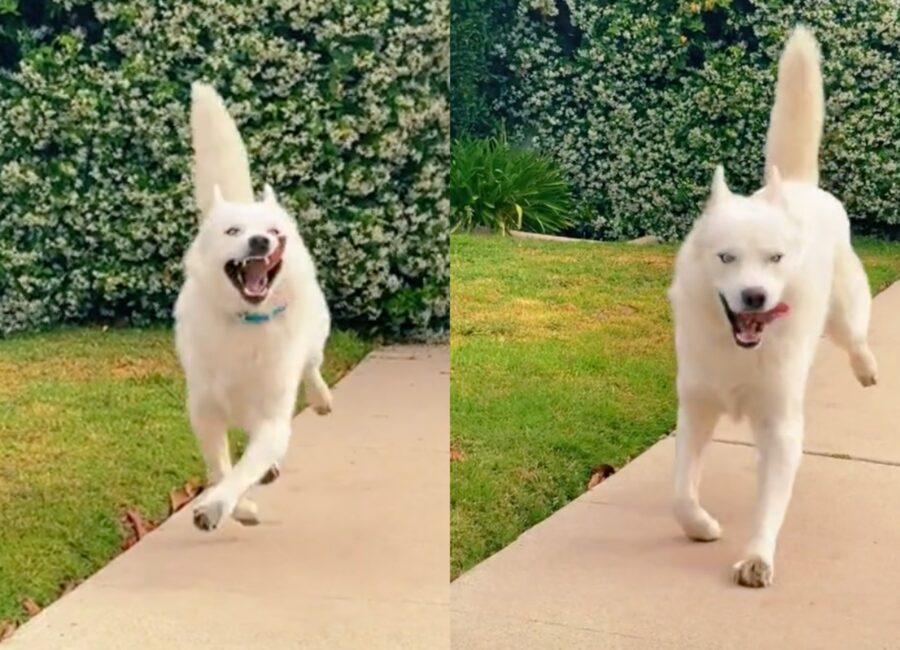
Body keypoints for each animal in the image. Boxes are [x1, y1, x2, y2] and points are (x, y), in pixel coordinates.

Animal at [174, 81, 332, 528]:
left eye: (273, 233)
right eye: (232, 231)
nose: (262, 241)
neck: (247, 321)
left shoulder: (273, 421)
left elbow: (244, 467)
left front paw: (218, 505)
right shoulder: (205, 413)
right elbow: (220, 467)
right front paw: (237, 506)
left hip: (314, 336)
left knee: (312, 366)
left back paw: (321, 398)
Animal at [672, 25, 876, 584]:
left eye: (775, 258)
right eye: (726, 257)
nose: (755, 296)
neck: (738, 352)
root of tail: (800, 186)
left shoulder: (781, 426)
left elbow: (770, 504)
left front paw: (758, 556)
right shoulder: (695, 409)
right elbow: (680, 493)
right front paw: (700, 526)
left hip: (843, 314)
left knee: (856, 337)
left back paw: (867, 368)